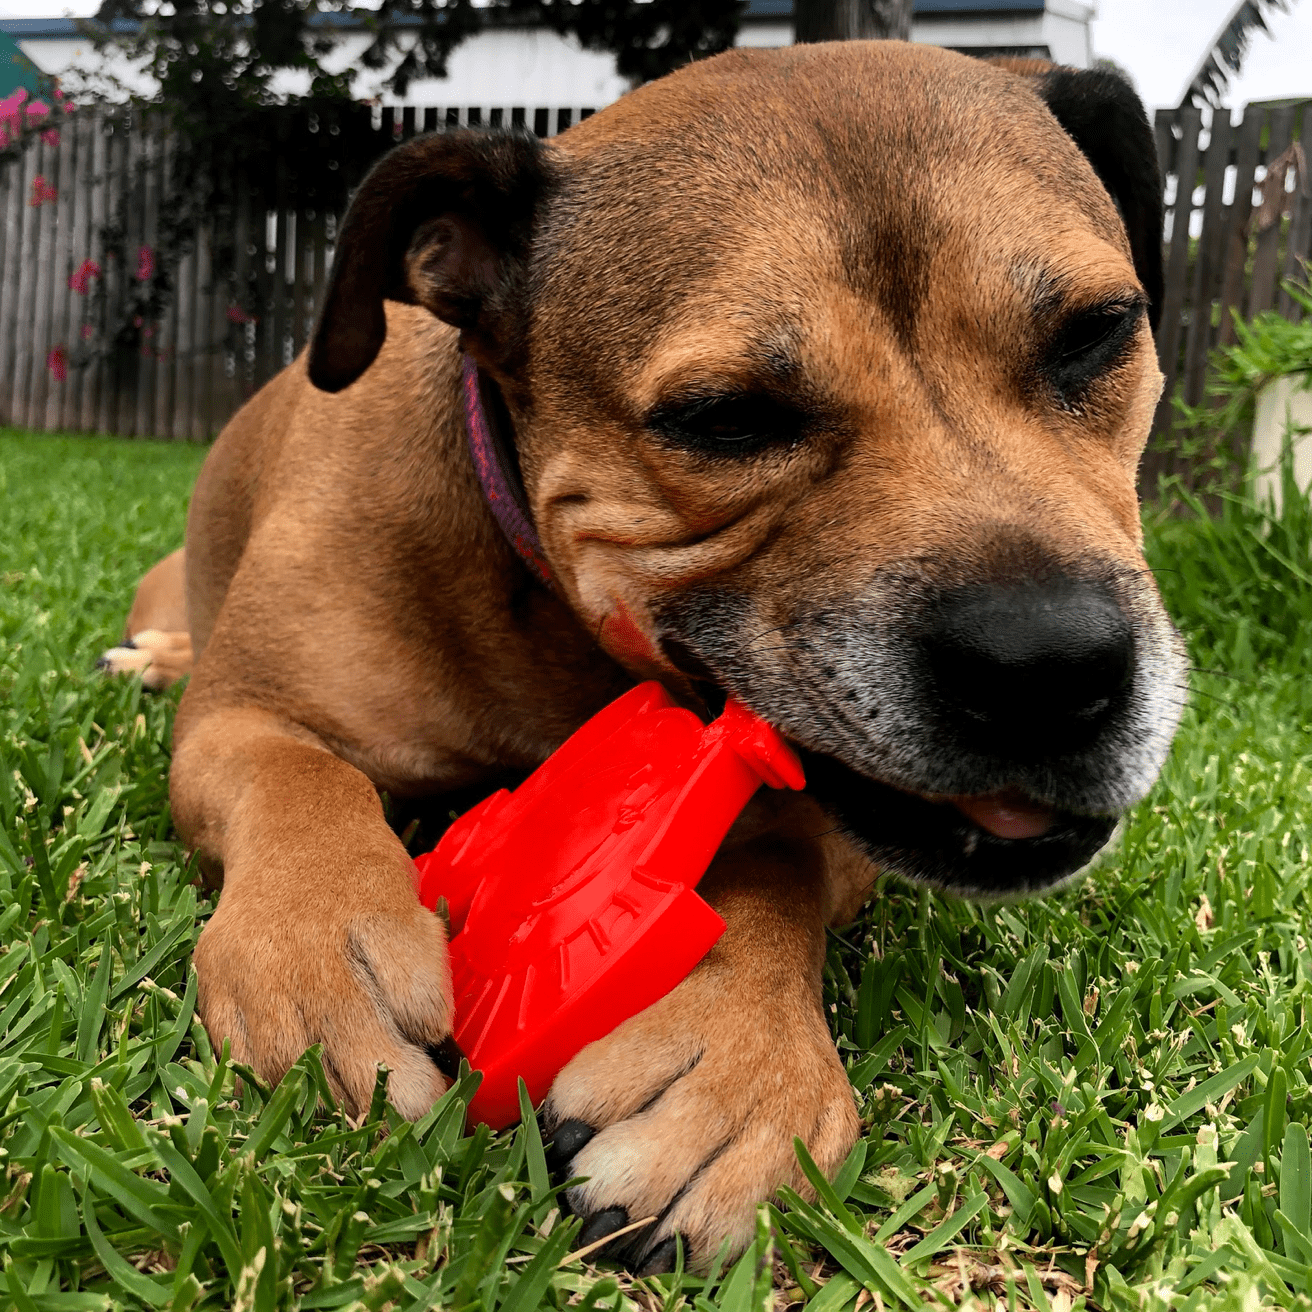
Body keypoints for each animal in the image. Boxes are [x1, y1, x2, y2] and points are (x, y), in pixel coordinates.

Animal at [110, 43, 1180, 1270]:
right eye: (725, 417)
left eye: (1096, 332)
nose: (1050, 664)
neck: (548, 610)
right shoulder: (240, 717)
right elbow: (297, 778)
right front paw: (321, 948)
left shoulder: (829, 811)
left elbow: (777, 859)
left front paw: (736, 1060)